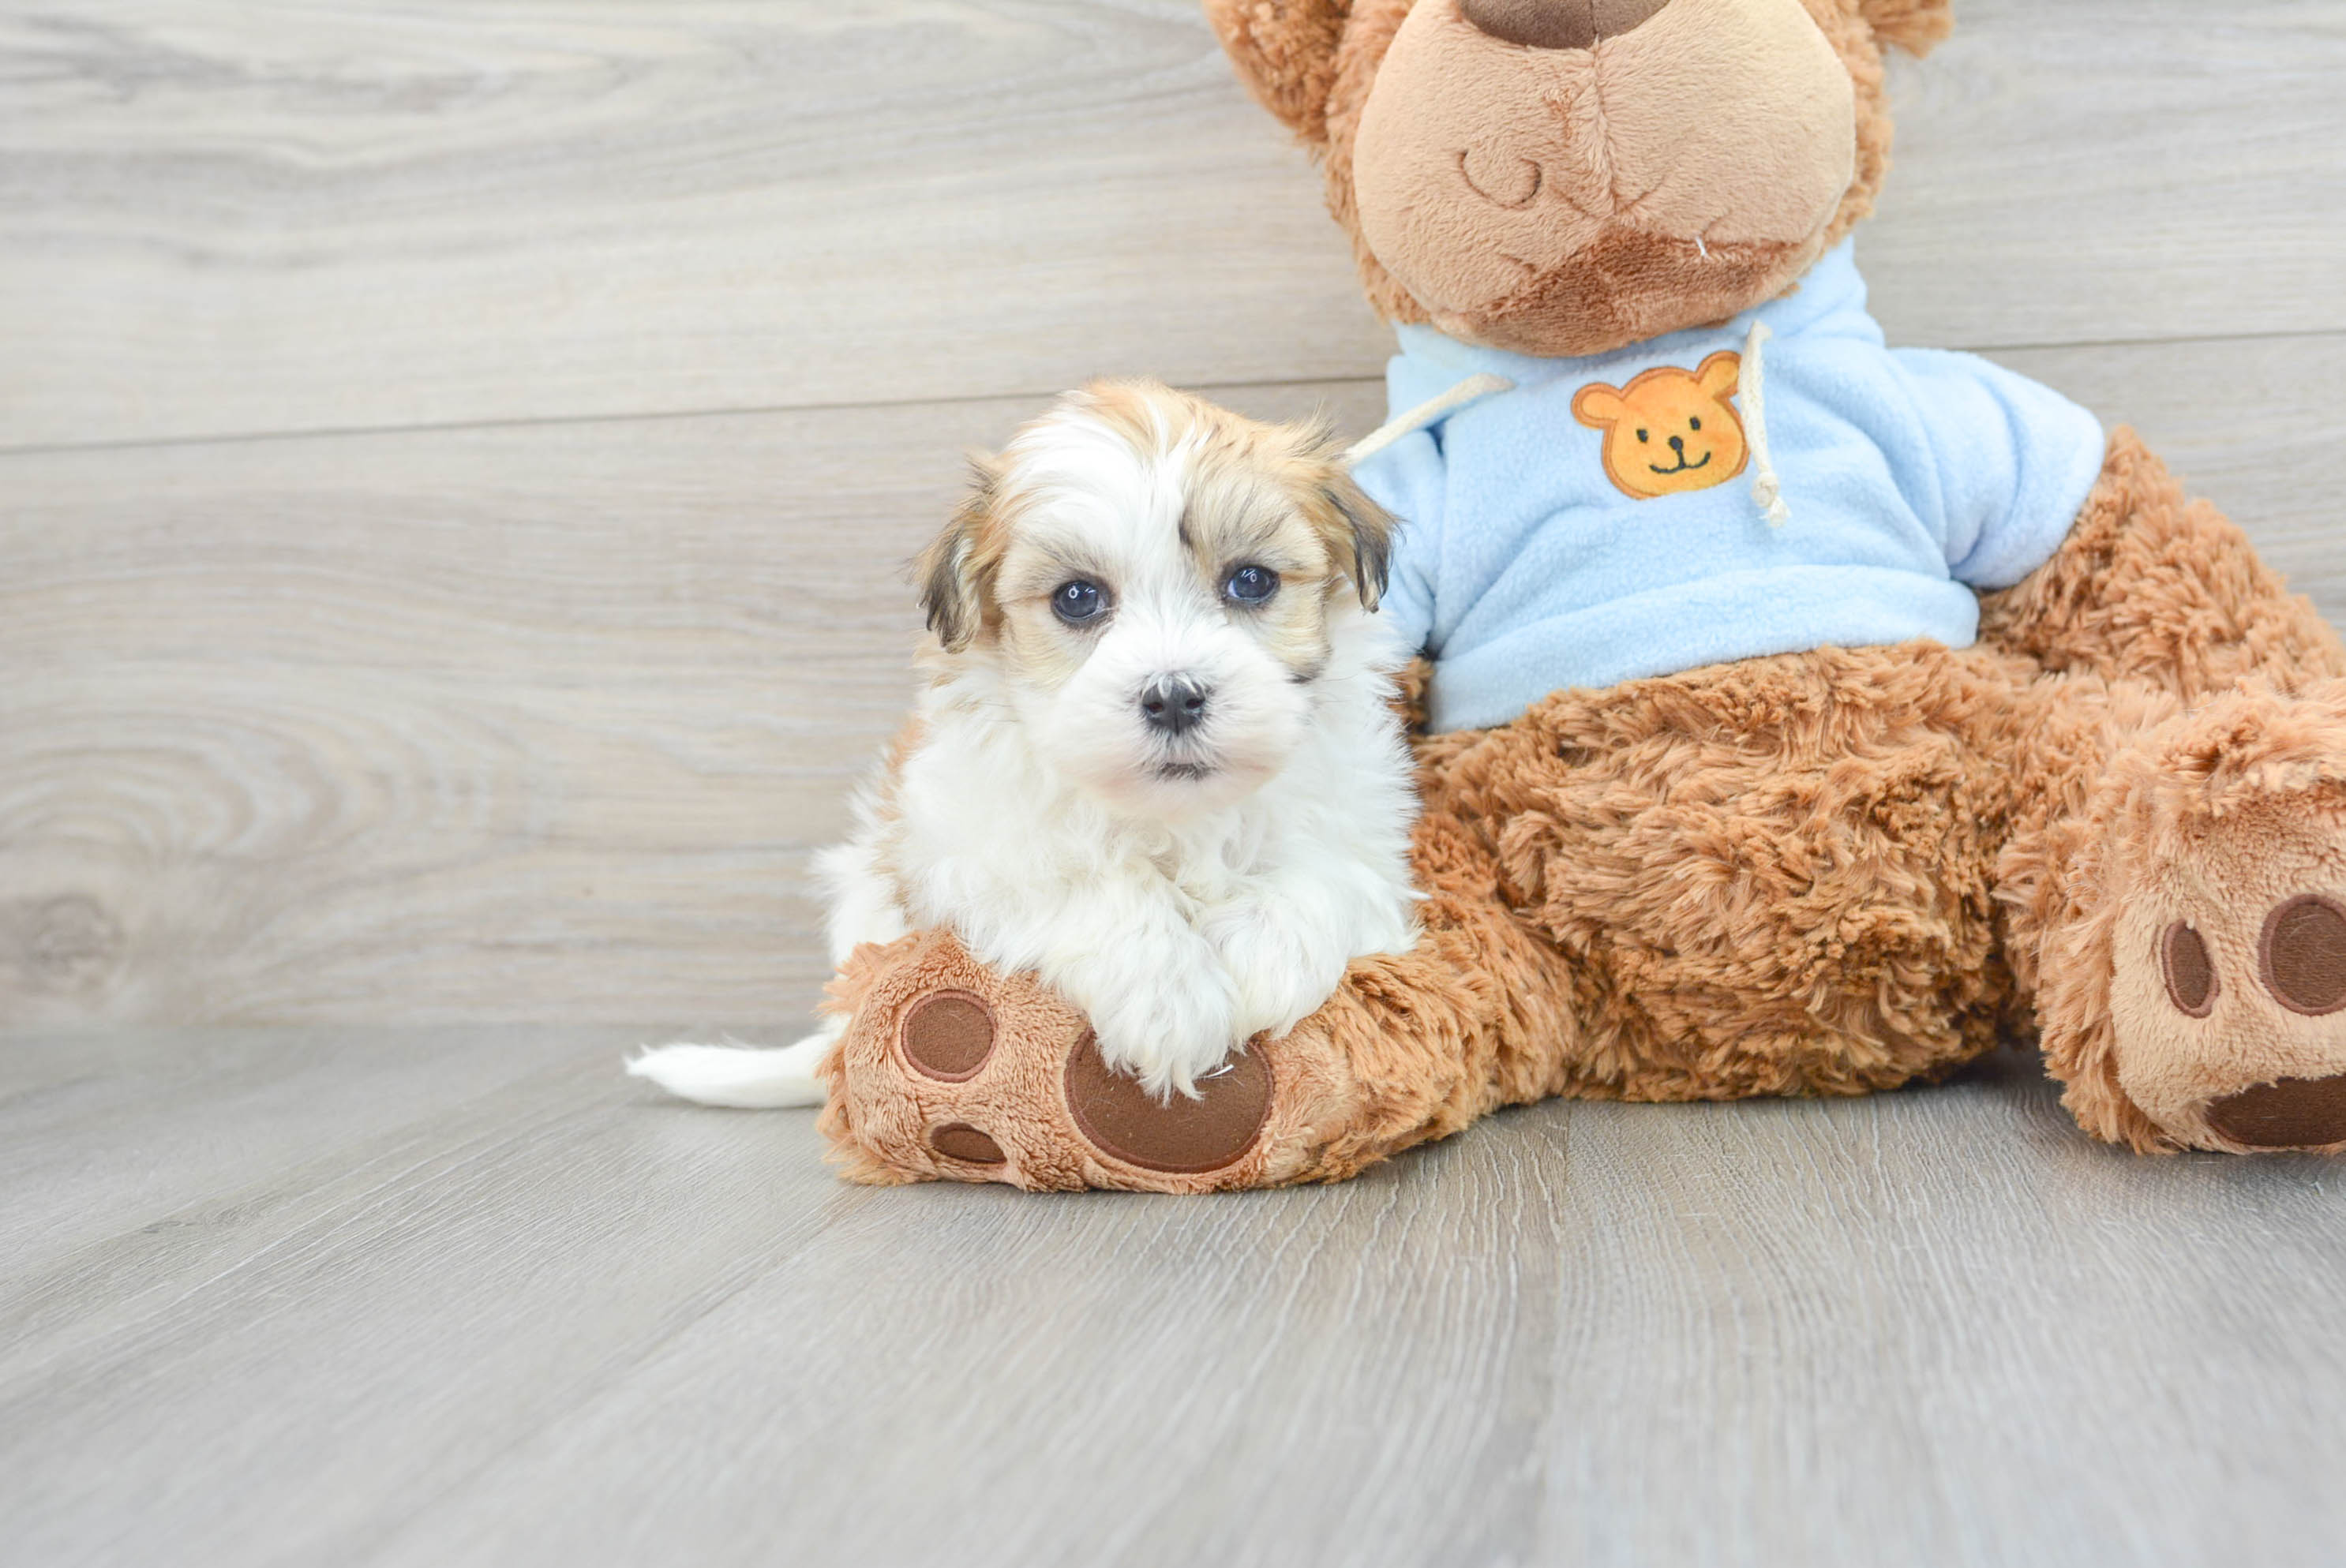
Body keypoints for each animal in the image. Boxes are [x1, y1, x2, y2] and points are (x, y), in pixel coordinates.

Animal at [633, 380, 1417, 1106]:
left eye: (1251, 580)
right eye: (1078, 597)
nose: (1173, 695)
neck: (1170, 816)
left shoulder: (1366, 833)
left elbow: (1329, 873)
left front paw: (1262, 954)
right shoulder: (962, 851)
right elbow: (1081, 884)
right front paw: (1168, 995)